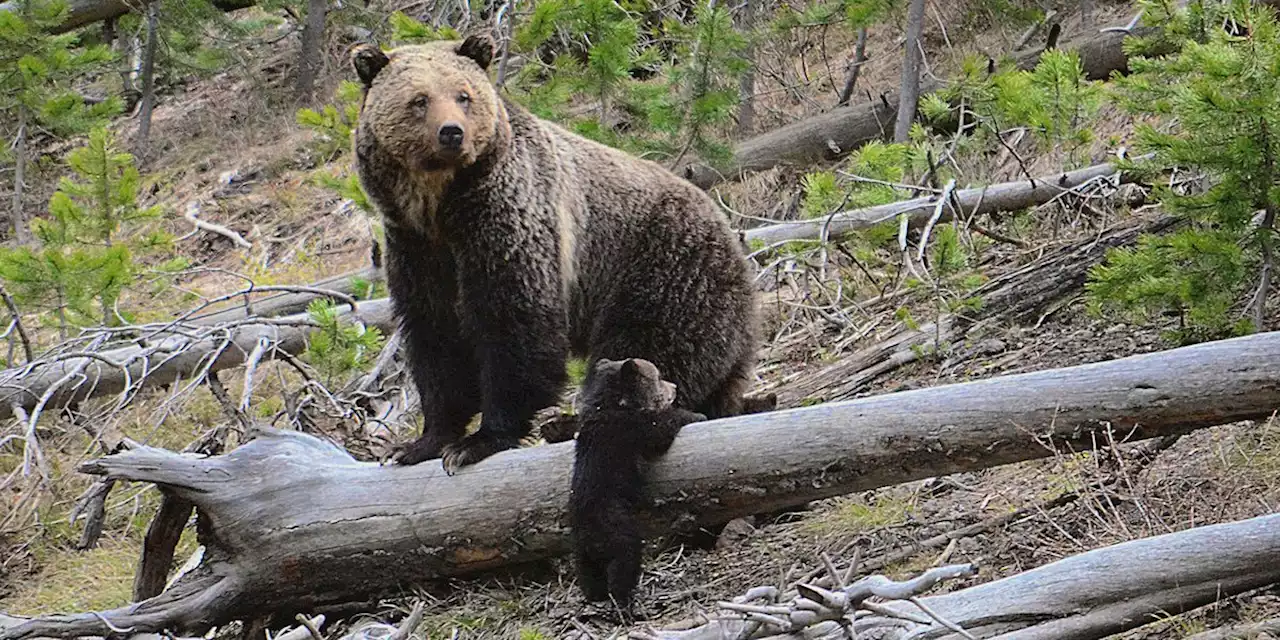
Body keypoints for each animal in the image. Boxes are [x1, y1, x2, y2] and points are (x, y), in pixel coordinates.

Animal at [350, 36, 752, 476]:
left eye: (463, 95)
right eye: (419, 99)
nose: (452, 133)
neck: (440, 206)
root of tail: (732, 236)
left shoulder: (508, 220)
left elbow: (514, 323)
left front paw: (479, 440)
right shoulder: (416, 248)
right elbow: (435, 338)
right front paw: (419, 443)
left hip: (663, 267)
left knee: (647, 349)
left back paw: (573, 421)